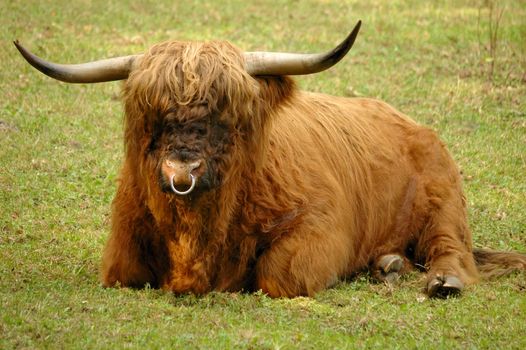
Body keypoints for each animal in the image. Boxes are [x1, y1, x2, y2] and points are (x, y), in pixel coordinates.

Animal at [14, 20, 524, 296]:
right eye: (153, 116)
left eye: (226, 116)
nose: (182, 170)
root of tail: (412, 122)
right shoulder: (121, 251)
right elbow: (125, 273)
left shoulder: (320, 226)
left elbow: (280, 274)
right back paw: (388, 264)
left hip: (444, 201)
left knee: (449, 247)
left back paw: (441, 281)